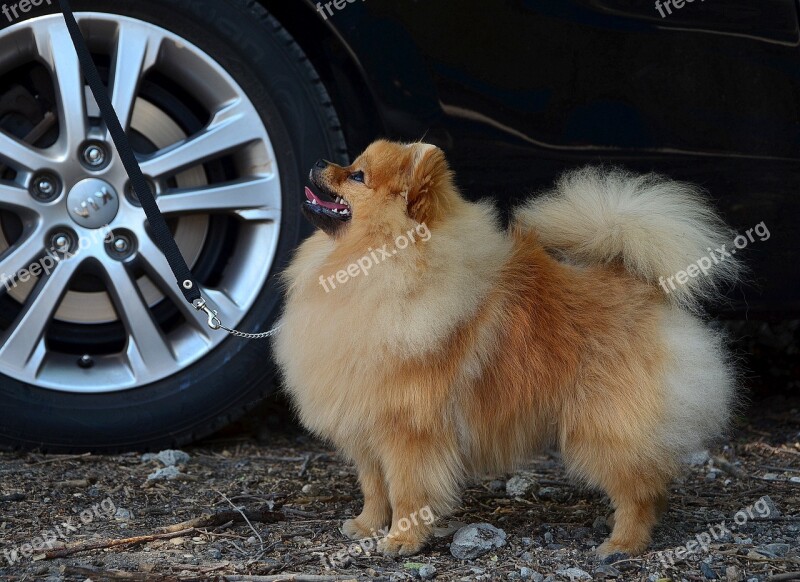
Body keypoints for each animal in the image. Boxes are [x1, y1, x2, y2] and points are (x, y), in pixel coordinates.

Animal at [274, 140, 736, 560]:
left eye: (357, 175)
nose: (318, 160)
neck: (372, 266)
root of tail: (640, 285)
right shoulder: (366, 425)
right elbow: (373, 487)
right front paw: (367, 525)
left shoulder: (409, 431)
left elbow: (406, 492)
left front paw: (401, 540)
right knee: (651, 482)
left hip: (604, 425)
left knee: (638, 488)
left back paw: (622, 543)